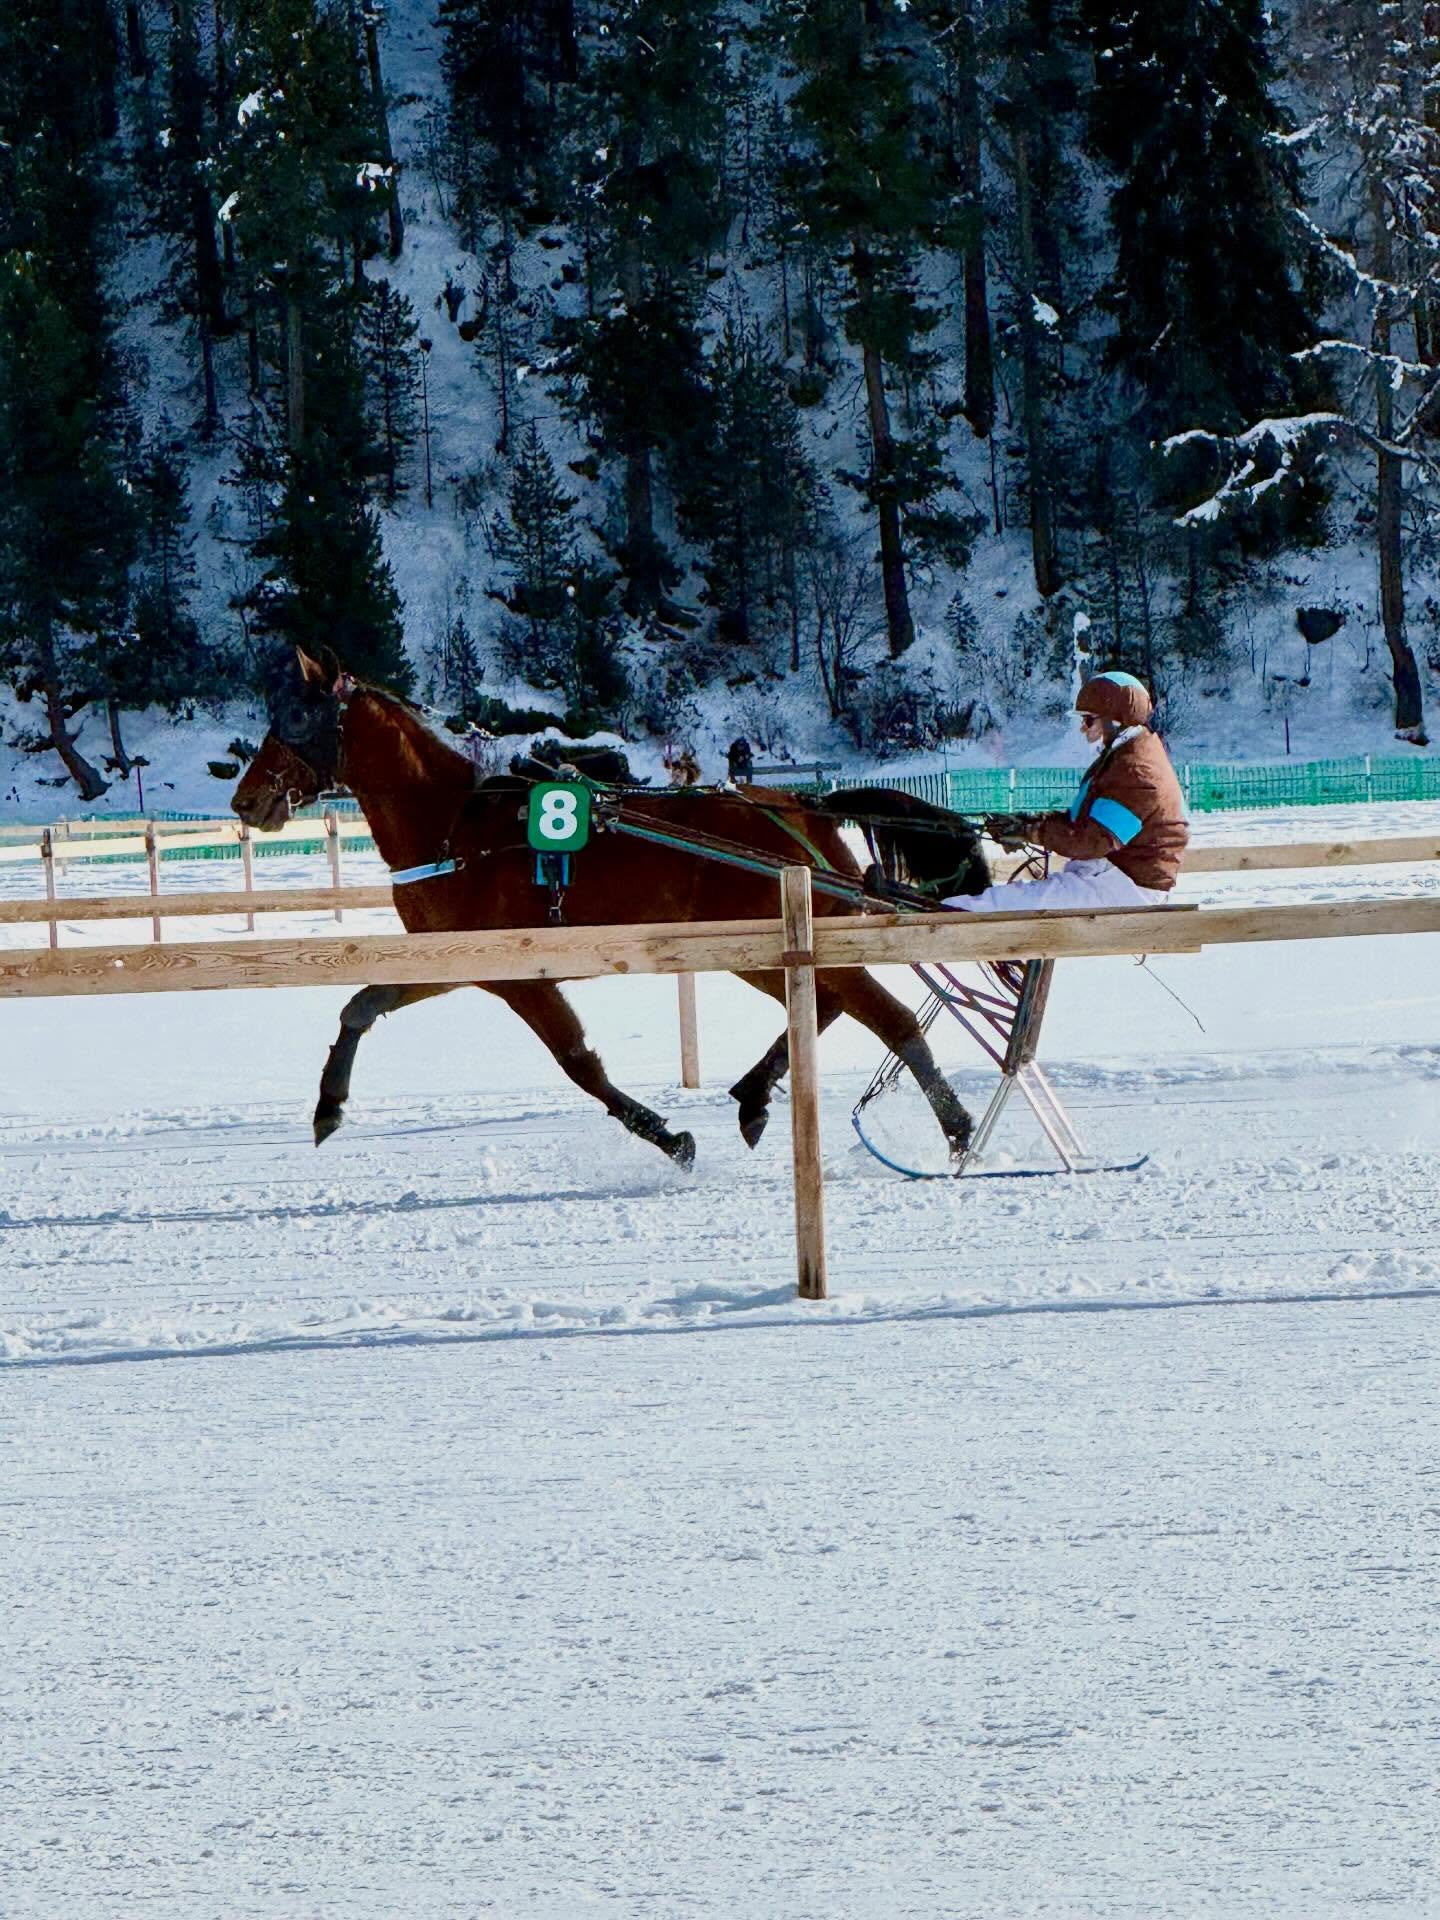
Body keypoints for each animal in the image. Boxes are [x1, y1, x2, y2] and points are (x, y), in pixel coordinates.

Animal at [230, 647, 991, 1168]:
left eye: (296, 716)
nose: (245, 799)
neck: (456, 826)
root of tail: (802, 804)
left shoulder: (516, 973)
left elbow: (579, 1062)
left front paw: (670, 1137)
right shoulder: (461, 960)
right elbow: (361, 1005)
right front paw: (328, 1105)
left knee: (891, 1018)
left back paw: (957, 1130)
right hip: (753, 944)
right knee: (828, 1005)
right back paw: (754, 1096)